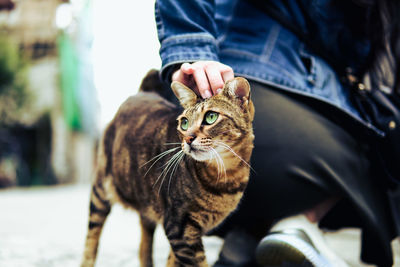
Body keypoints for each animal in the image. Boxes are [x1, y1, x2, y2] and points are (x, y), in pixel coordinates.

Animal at [80, 71, 255, 267]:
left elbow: (172, 261)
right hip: (101, 190)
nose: (188, 138)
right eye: (184, 123)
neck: (226, 176)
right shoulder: (179, 228)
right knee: (92, 237)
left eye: (211, 117)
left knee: (144, 240)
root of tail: (144, 92)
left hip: (147, 199)